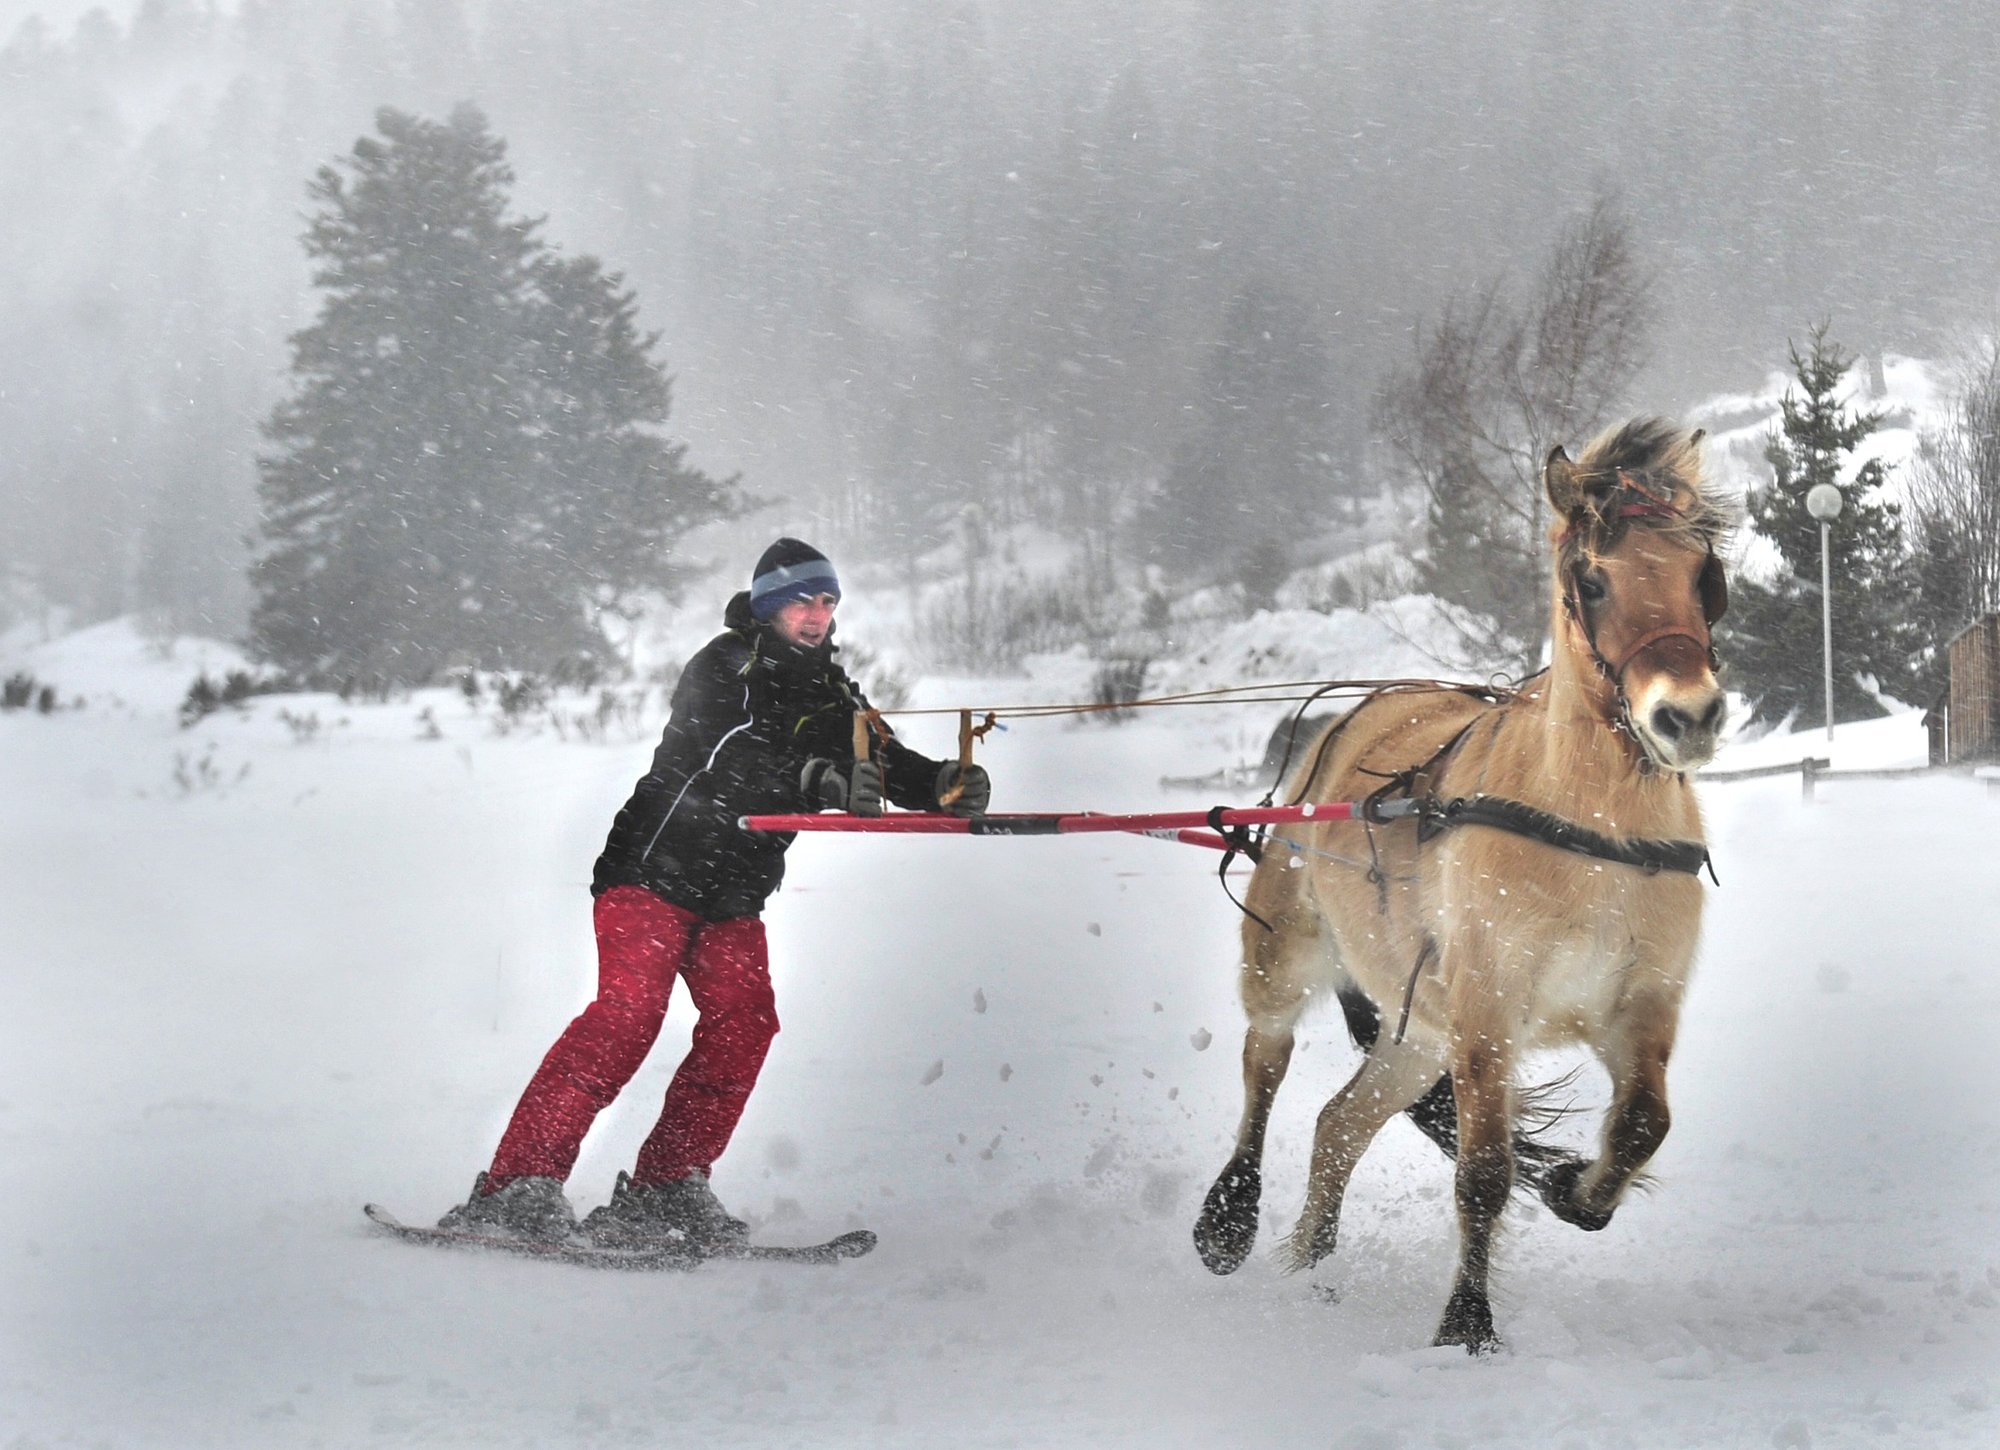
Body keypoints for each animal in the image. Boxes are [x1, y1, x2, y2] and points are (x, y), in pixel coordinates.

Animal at [1192, 417, 1734, 1352]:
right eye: (1592, 580)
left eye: (1704, 574)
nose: (1688, 717)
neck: (1593, 827)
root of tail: (1350, 719)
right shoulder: (1489, 1012)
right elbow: (1483, 1172)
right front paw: (1466, 1326)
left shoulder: (1639, 1004)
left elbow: (1641, 1124)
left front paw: (1574, 1192)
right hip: (1287, 957)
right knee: (1265, 1058)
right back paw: (1229, 1217)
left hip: (1418, 1038)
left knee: (1339, 1125)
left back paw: (1311, 1267)